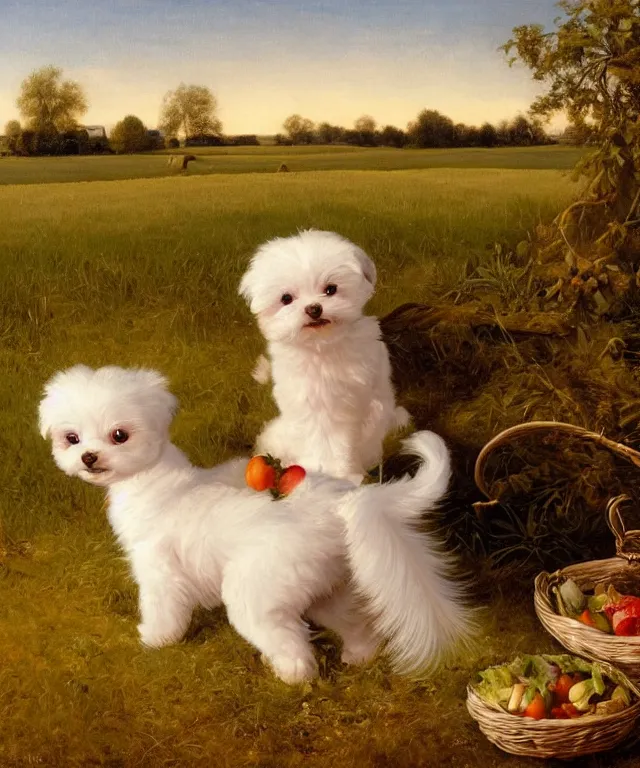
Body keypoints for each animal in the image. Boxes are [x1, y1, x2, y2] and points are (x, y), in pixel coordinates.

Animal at [37, 366, 472, 684]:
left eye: (119, 435)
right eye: (71, 438)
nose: (89, 457)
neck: (159, 485)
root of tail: (340, 505)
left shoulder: (159, 573)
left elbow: (163, 610)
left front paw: (155, 639)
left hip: (255, 593)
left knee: (292, 645)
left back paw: (288, 675)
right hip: (327, 590)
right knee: (356, 625)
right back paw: (357, 656)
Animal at [240, 228, 410, 484]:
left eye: (330, 289)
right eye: (286, 298)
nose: (314, 309)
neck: (323, 345)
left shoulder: (368, 393)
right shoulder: (314, 404)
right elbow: (325, 440)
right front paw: (335, 472)